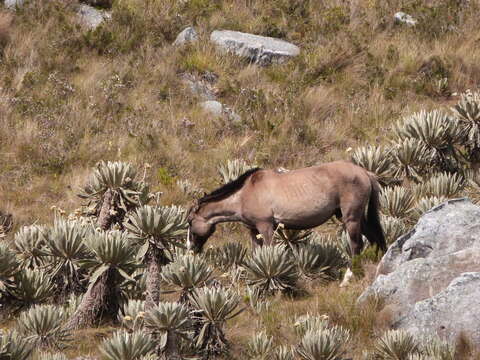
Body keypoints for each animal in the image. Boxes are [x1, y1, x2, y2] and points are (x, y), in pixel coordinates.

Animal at [187, 160, 386, 256]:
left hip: (350, 218)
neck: (245, 193)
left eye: (189, 222)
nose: (191, 248)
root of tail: (364, 172)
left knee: (356, 244)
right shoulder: (253, 230)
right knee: (375, 238)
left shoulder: (266, 227)